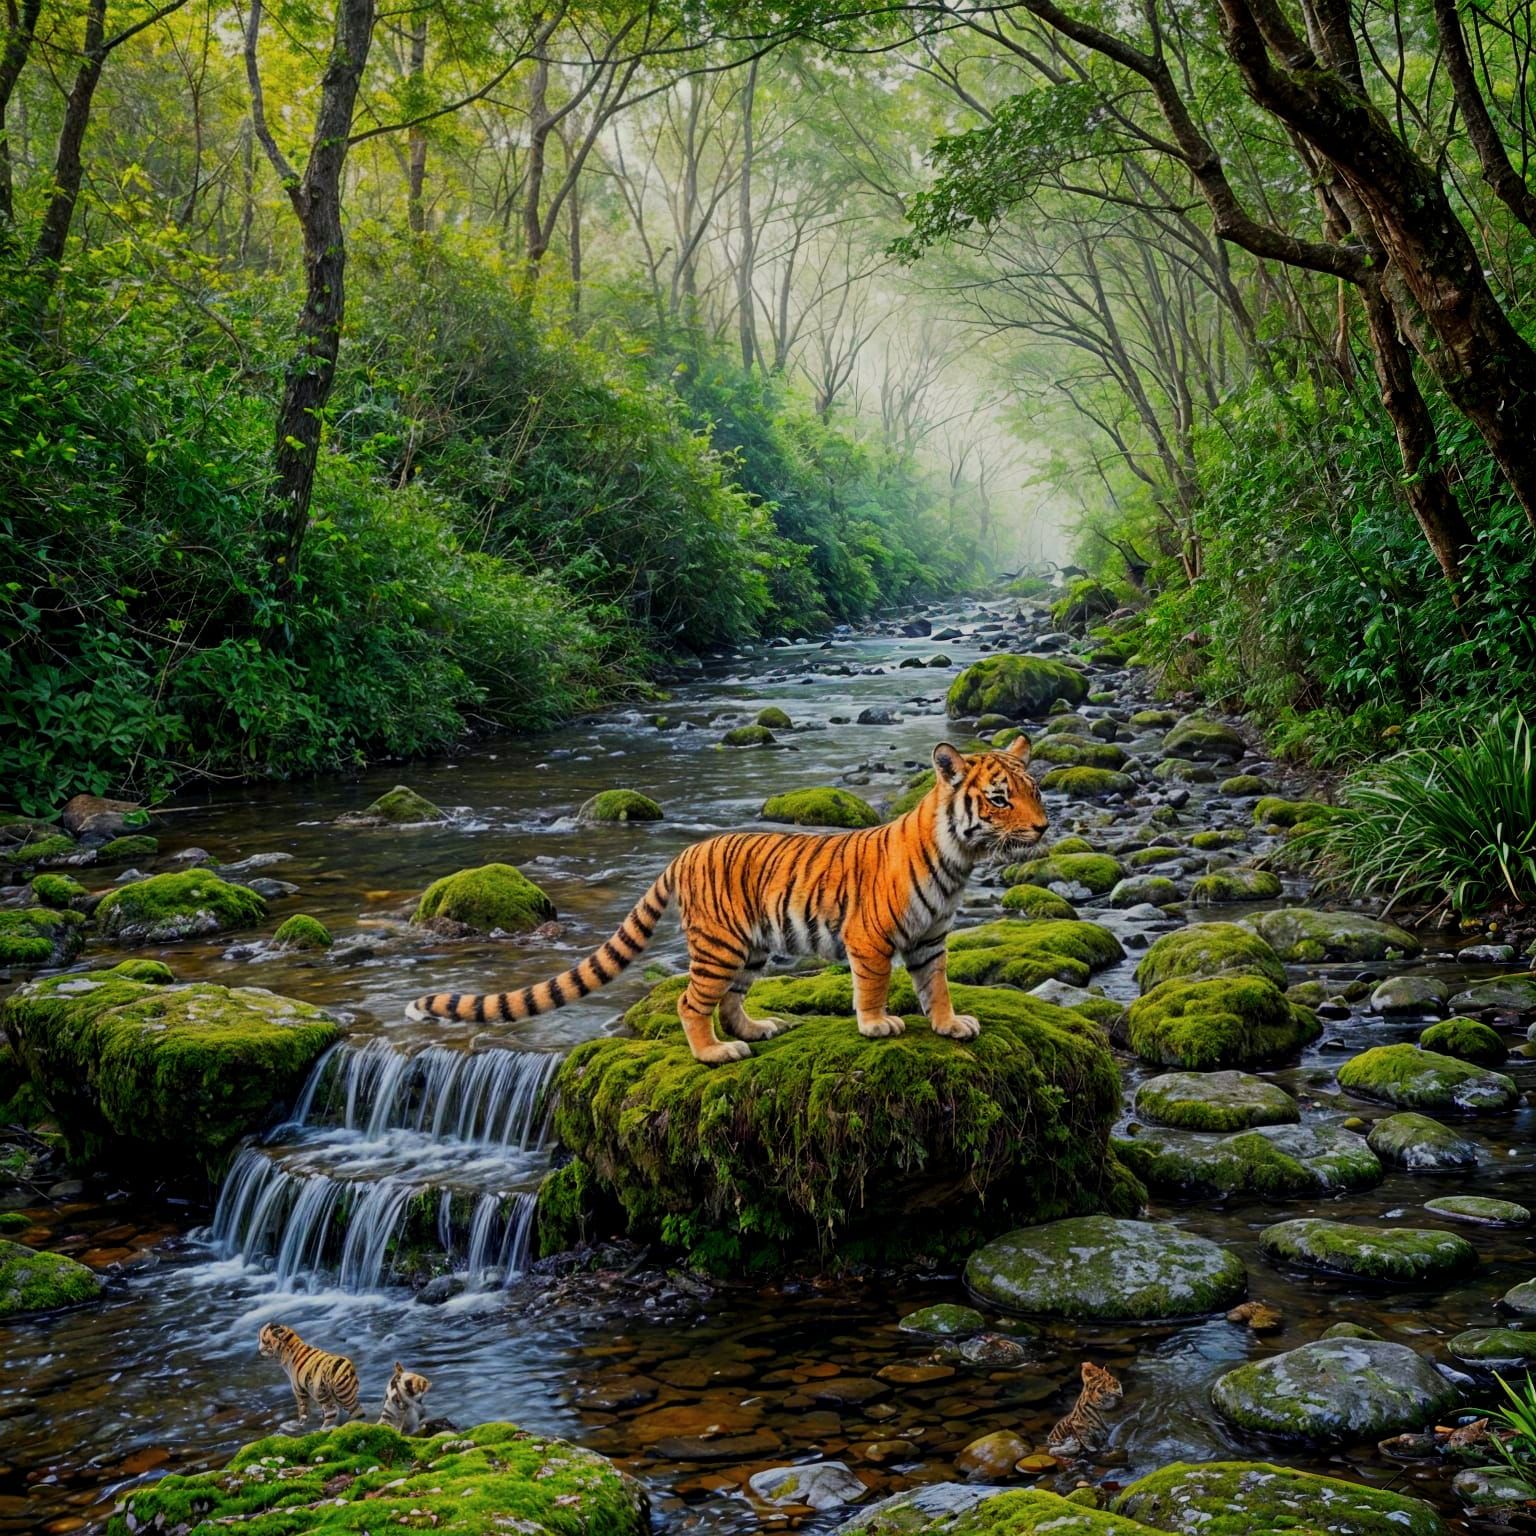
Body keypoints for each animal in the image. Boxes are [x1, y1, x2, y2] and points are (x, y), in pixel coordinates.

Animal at [406, 736, 1048, 1065]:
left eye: (1035, 791)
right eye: (998, 799)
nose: (1043, 828)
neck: (959, 860)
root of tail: (684, 852)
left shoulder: (931, 939)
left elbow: (936, 986)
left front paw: (950, 1025)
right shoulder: (869, 938)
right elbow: (872, 985)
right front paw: (876, 1025)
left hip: (750, 947)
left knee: (731, 1000)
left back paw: (758, 1030)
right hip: (718, 946)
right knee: (690, 1003)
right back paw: (714, 1053)